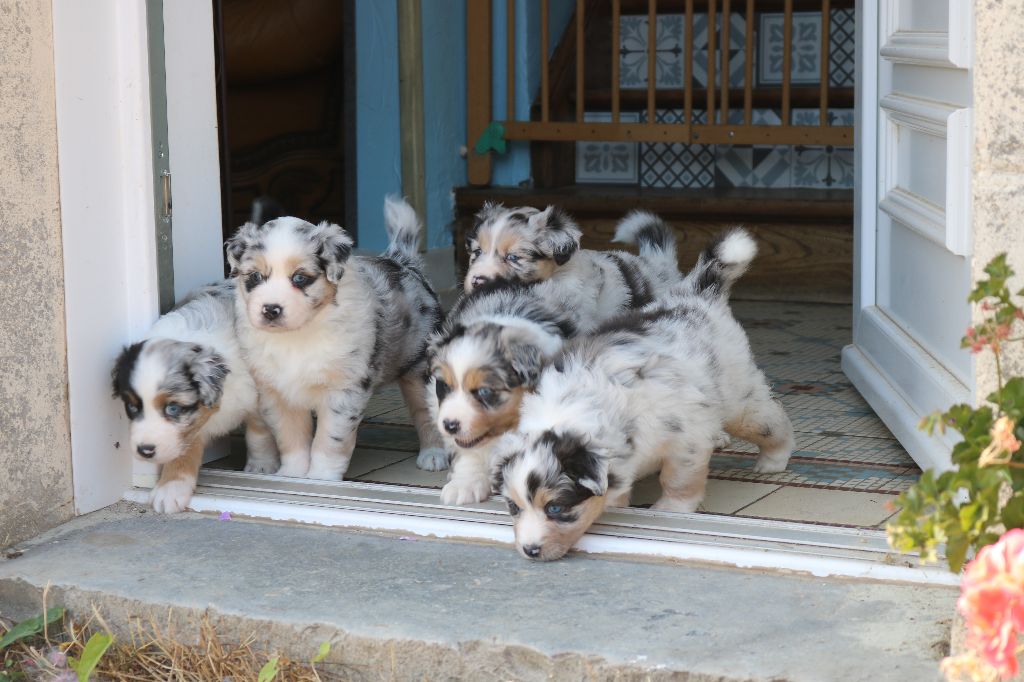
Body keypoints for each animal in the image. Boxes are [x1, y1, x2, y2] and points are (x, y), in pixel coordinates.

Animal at [111, 280, 278, 509]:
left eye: (173, 408)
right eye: (132, 407)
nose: (145, 450)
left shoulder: (255, 394)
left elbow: (258, 432)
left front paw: (262, 466)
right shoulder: (191, 424)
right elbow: (182, 450)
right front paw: (170, 489)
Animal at [228, 192, 448, 477]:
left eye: (300, 278)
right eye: (255, 276)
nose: (271, 310)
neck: (298, 336)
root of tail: (403, 263)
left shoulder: (344, 390)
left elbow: (330, 441)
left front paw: (322, 478)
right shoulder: (277, 391)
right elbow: (291, 439)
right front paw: (292, 476)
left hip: (421, 370)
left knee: (426, 411)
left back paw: (434, 455)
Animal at [491, 228, 794, 557]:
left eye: (556, 508)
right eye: (513, 507)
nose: (530, 551)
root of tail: (695, 294)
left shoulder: (686, 439)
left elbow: (679, 479)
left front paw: (669, 510)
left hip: (740, 398)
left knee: (771, 419)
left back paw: (773, 460)